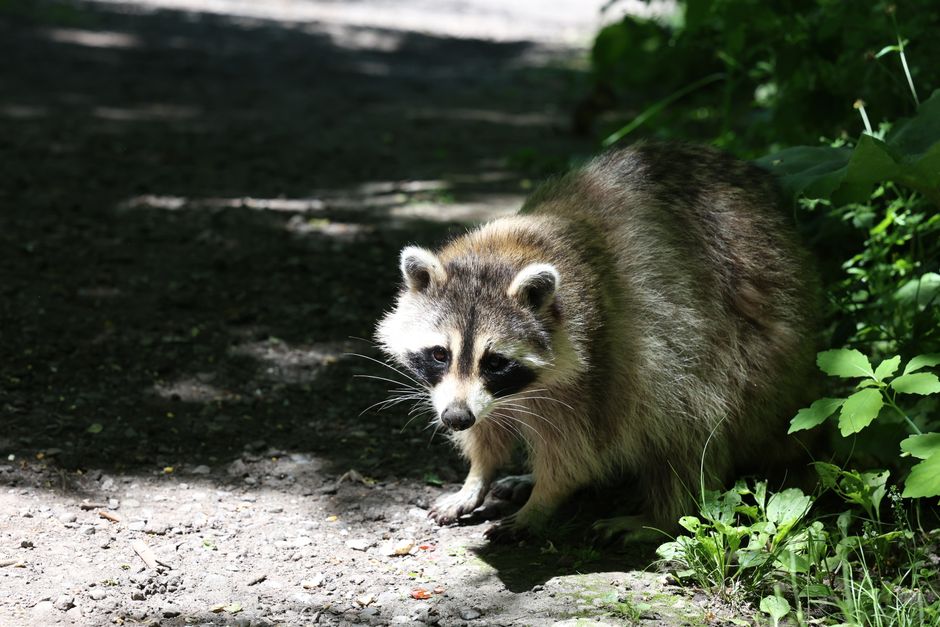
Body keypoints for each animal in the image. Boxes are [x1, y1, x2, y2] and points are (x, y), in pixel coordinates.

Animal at [375, 142, 818, 537]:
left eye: (496, 361)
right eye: (439, 354)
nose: (455, 418)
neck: (506, 250)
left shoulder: (606, 359)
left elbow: (581, 449)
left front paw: (543, 499)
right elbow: (487, 429)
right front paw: (477, 476)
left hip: (751, 355)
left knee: (690, 414)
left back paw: (662, 515)